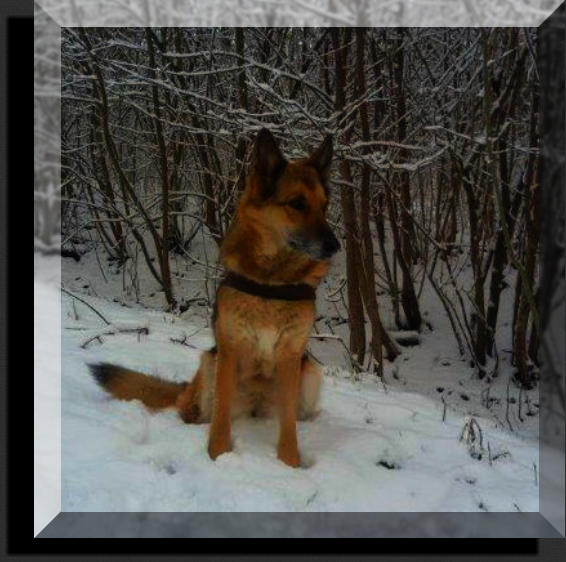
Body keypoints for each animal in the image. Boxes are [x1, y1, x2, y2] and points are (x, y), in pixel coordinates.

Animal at [89, 128, 340, 467]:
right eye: (297, 203)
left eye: (324, 206)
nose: (335, 246)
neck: (273, 280)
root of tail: (255, 406)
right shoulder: (229, 350)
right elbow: (221, 417)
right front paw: (218, 456)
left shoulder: (291, 357)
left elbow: (288, 426)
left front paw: (289, 464)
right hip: (209, 363)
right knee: (187, 406)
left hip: (310, 373)